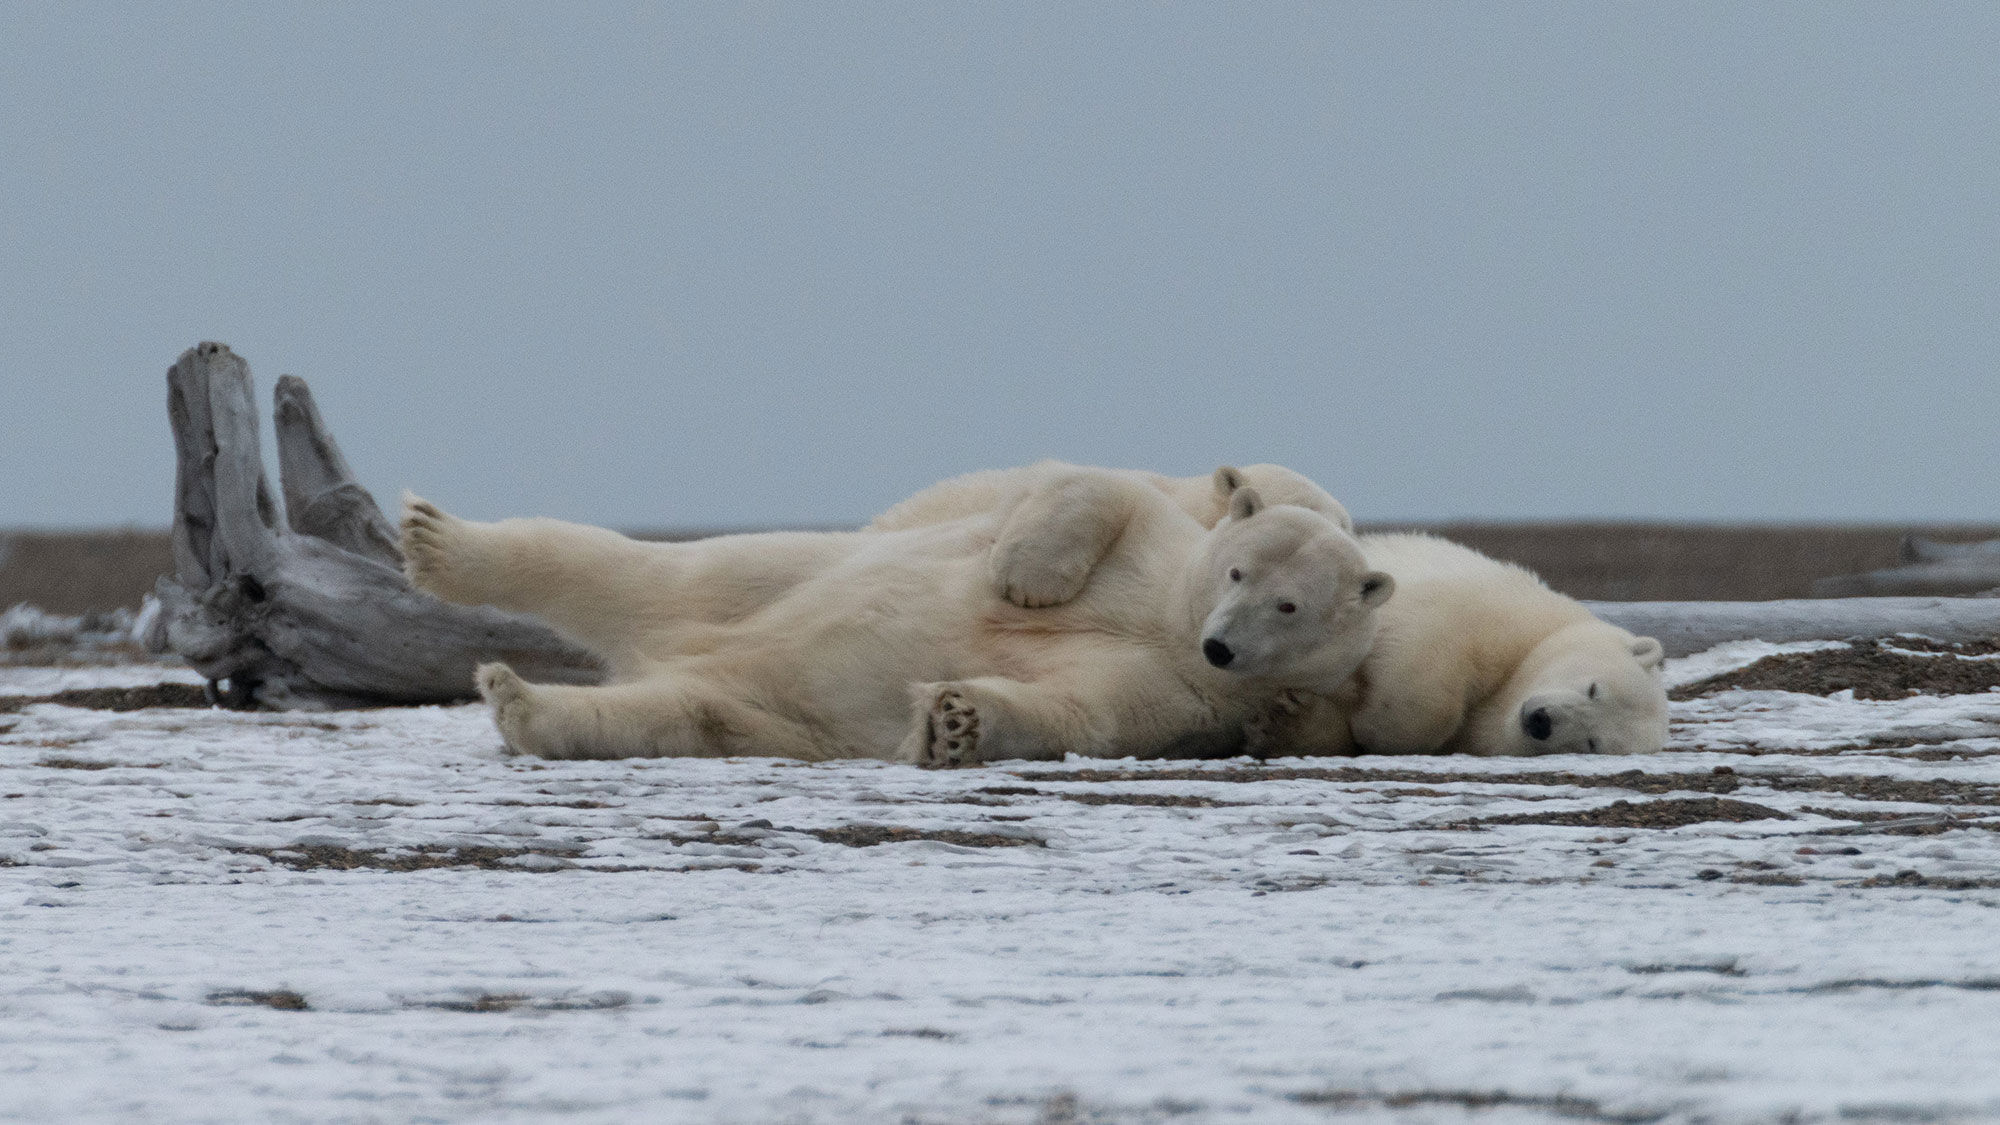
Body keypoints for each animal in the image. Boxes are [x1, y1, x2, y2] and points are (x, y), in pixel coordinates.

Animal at [399, 466, 1393, 766]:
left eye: (1290, 605)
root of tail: (680, 650)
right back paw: (436, 539)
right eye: (1237, 568)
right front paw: (1023, 581)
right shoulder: (1155, 551)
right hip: (770, 575)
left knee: (676, 714)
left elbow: (1084, 711)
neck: (1166, 623)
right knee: (645, 566)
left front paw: (952, 721)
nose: (1221, 641)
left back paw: (521, 701)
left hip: (768, 714)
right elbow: (1092, 486)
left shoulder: (1186, 695)